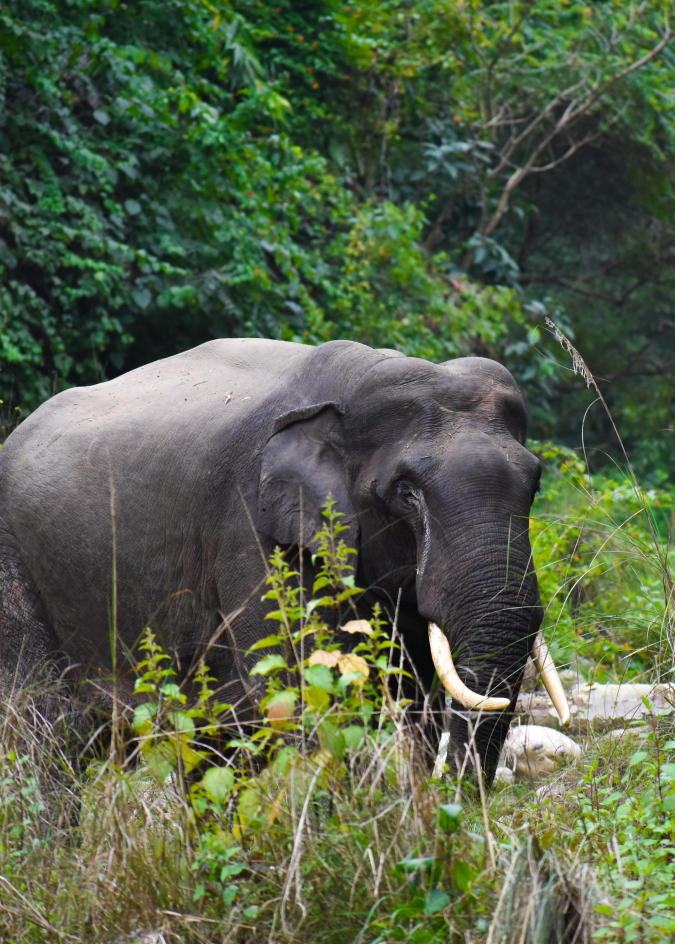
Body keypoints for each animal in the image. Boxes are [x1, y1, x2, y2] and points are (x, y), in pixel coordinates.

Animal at [0, 338, 568, 783]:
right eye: (405, 493)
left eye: (535, 482)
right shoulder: (252, 528)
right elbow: (295, 689)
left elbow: (411, 692)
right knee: (43, 723)